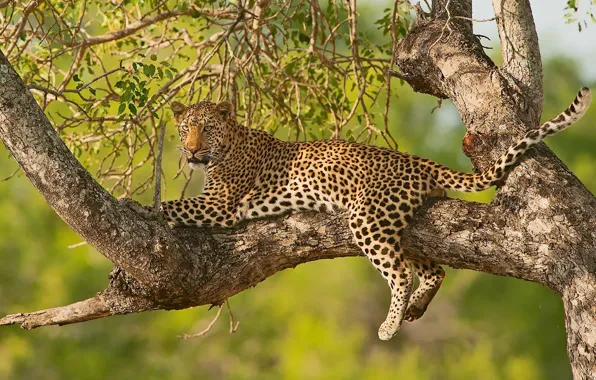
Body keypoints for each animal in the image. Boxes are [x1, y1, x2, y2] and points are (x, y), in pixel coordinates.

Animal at [157, 88, 592, 342]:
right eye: (185, 129)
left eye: (206, 129)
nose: (191, 151)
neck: (226, 147)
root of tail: (419, 162)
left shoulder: (219, 205)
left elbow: (167, 206)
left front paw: (146, 209)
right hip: (400, 224)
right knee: (434, 270)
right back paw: (415, 309)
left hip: (368, 218)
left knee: (400, 273)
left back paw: (390, 324)